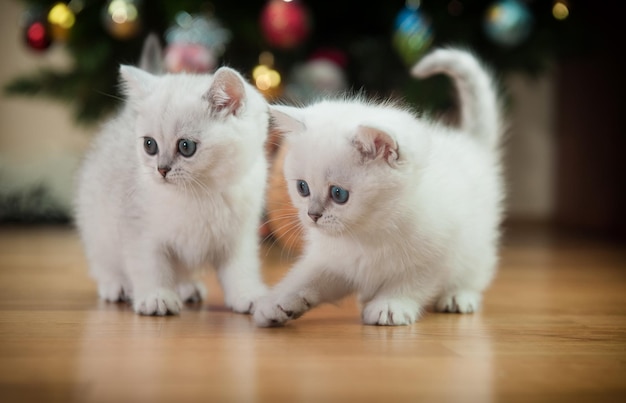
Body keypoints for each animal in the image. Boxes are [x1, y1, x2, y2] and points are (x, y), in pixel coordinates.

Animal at [73, 62, 268, 316]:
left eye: (186, 146)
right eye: (149, 145)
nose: (161, 169)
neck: (200, 192)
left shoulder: (238, 236)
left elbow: (240, 269)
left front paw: (248, 295)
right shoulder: (139, 230)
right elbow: (150, 267)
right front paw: (156, 297)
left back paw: (187, 288)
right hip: (97, 227)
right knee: (103, 263)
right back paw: (116, 286)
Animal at [256, 48, 504, 328]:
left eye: (339, 194)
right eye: (302, 188)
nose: (313, 215)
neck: (368, 232)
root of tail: (471, 144)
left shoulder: (437, 251)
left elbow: (412, 282)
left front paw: (390, 305)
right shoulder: (333, 260)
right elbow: (308, 277)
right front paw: (277, 302)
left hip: (475, 242)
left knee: (476, 270)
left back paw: (459, 296)